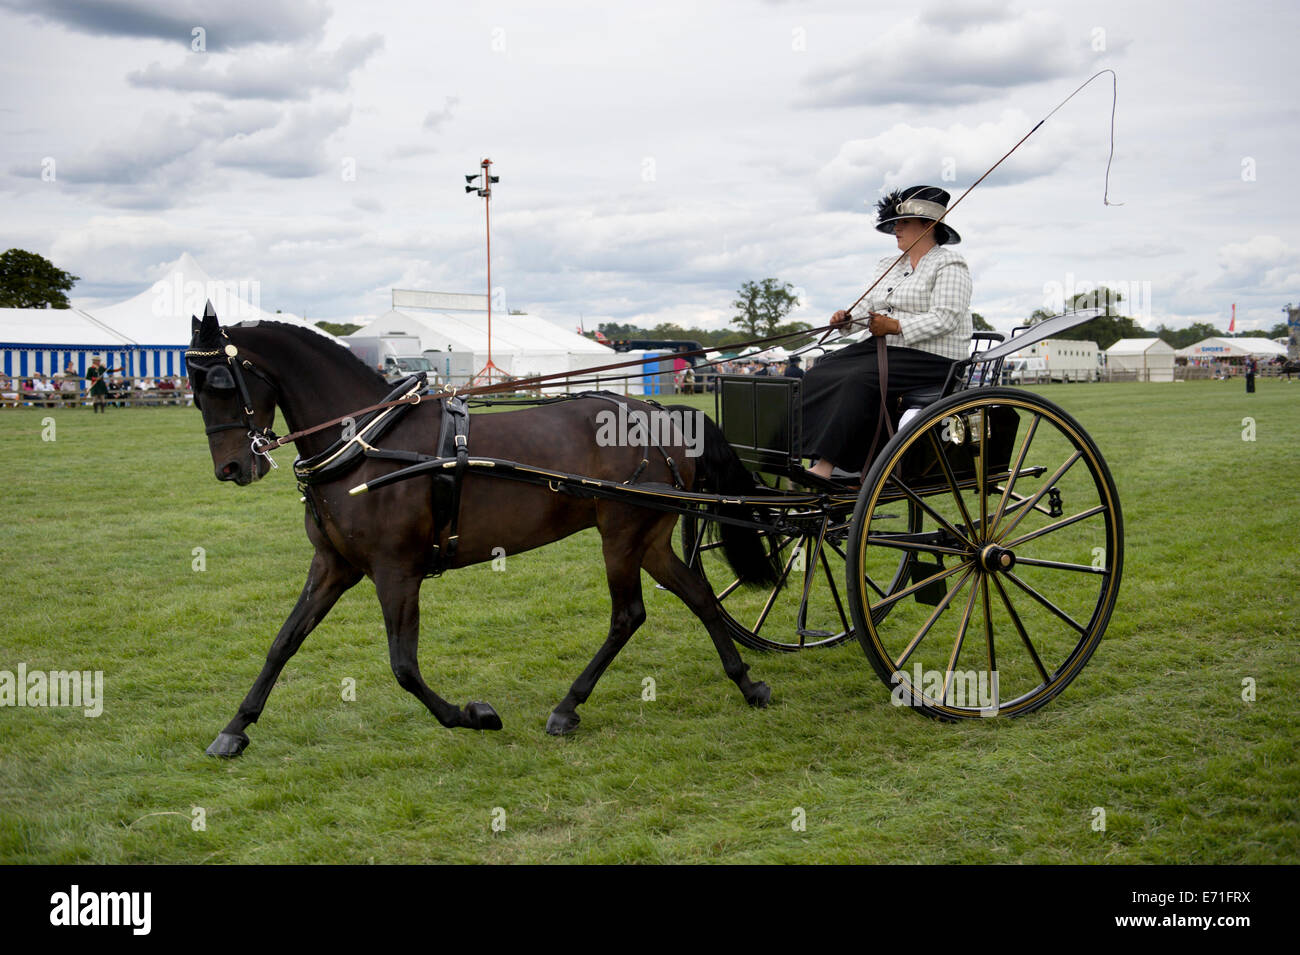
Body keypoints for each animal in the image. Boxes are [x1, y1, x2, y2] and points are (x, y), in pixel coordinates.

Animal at [183, 310, 769, 758]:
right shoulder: (334, 566)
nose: (231, 468)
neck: (369, 442)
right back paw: (746, 682)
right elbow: (283, 642)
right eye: (193, 388)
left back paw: (568, 707)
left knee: (628, 615)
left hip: (621, 535)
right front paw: (234, 729)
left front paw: (474, 714)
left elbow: (404, 667)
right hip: (647, 537)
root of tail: (660, 410)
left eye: (221, 383)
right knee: (699, 595)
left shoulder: (396, 572)